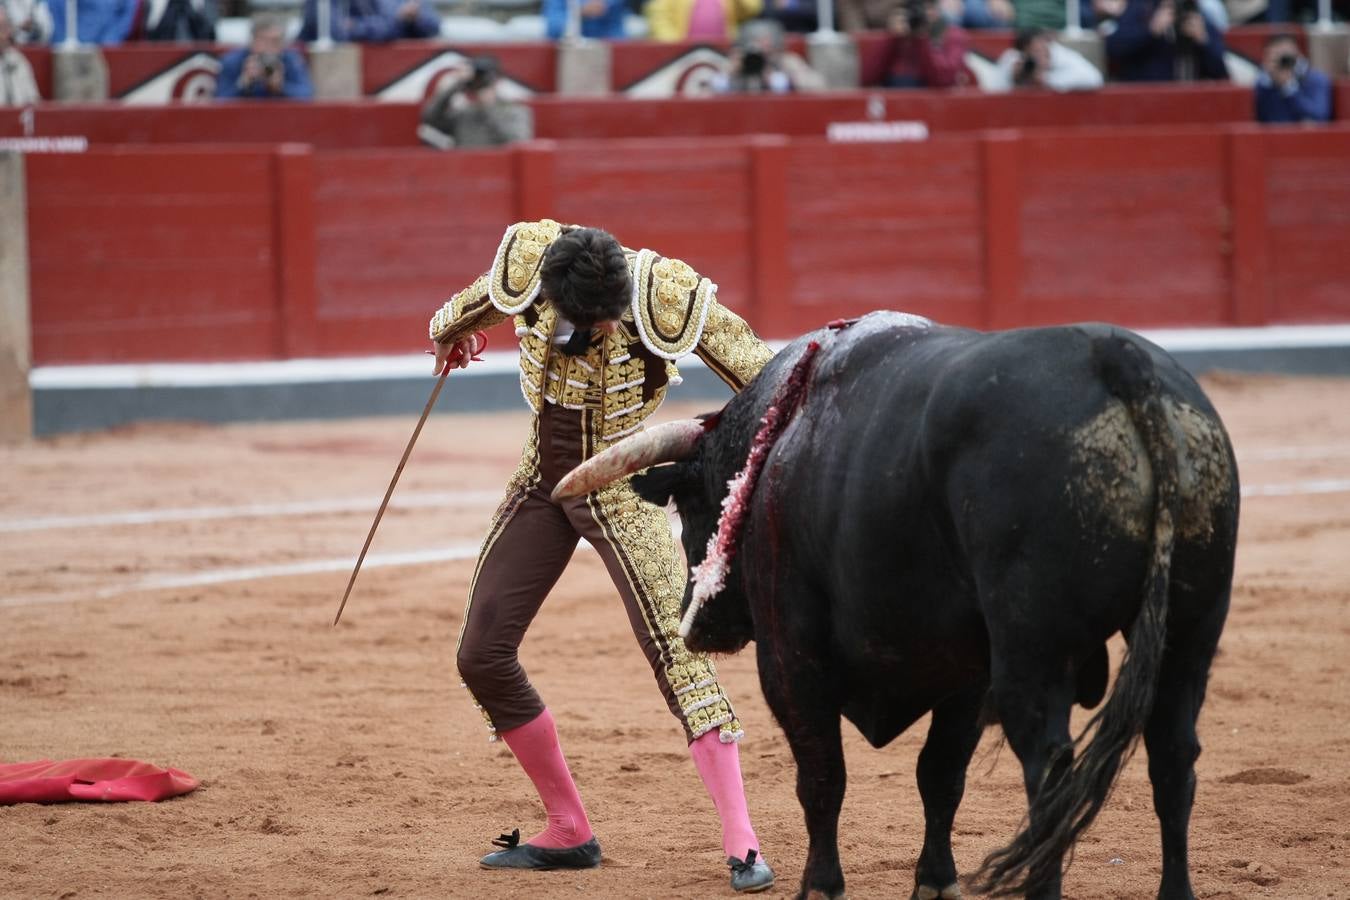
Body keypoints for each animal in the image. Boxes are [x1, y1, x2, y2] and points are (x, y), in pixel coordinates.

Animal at [553, 315, 1236, 900]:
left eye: (693, 505)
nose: (697, 624)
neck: (778, 437)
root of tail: (1115, 360)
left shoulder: (792, 661)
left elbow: (822, 777)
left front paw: (821, 885)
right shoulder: (967, 672)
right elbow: (940, 774)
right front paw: (935, 880)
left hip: (1033, 654)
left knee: (1050, 766)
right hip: (1190, 633)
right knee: (1173, 756)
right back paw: (1176, 890)